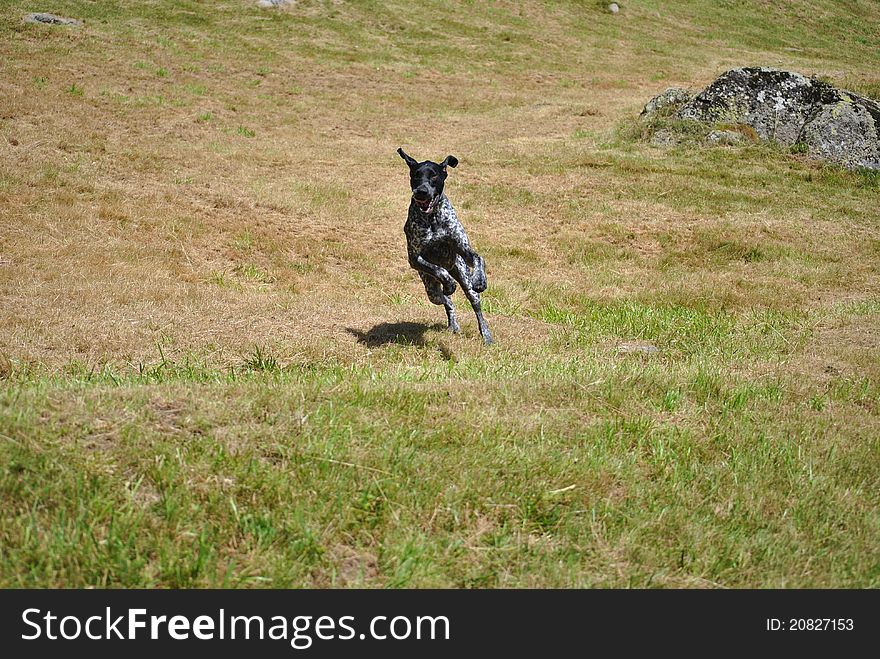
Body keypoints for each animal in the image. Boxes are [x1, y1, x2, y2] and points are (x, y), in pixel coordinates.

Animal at [400, 149, 496, 346]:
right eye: (416, 175)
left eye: (434, 176)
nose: (421, 192)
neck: (432, 218)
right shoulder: (415, 259)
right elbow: (437, 269)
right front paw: (449, 283)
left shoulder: (463, 249)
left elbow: (478, 257)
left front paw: (481, 280)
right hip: (431, 290)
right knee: (447, 300)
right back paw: (452, 318)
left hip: (463, 276)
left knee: (475, 303)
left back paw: (486, 335)